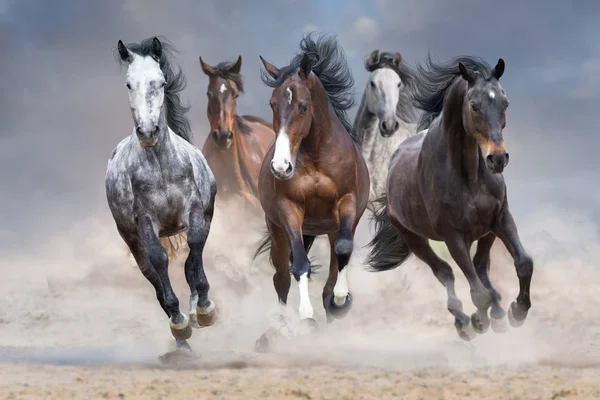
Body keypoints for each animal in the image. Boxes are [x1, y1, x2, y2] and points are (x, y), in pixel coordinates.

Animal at [106, 36, 218, 350]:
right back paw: (181, 340)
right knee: (152, 275)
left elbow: (194, 250)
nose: (148, 132)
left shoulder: (195, 211)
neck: (161, 166)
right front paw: (179, 323)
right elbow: (159, 261)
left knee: (192, 258)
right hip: (131, 238)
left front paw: (204, 309)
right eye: (129, 84)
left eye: (161, 81)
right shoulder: (145, 221)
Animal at [254, 34, 370, 334]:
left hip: (330, 227)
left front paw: (341, 300)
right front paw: (306, 316)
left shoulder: (346, 203)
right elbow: (299, 265)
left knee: (334, 264)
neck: (317, 157)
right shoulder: (289, 209)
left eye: (303, 106)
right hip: (278, 231)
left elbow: (343, 250)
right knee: (281, 276)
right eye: (272, 104)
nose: (281, 166)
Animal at [366, 54, 536, 340]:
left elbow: (523, 263)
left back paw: (498, 313)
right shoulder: (452, 236)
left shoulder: (501, 219)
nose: (497, 159)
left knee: (480, 267)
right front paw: (479, 321)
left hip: (485, 232)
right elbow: (477, 293)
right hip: (414, 238)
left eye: (505, 102)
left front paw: (517, 312)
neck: (468, 175)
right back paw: (464, 321)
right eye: (474, 105)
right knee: (446, 273)